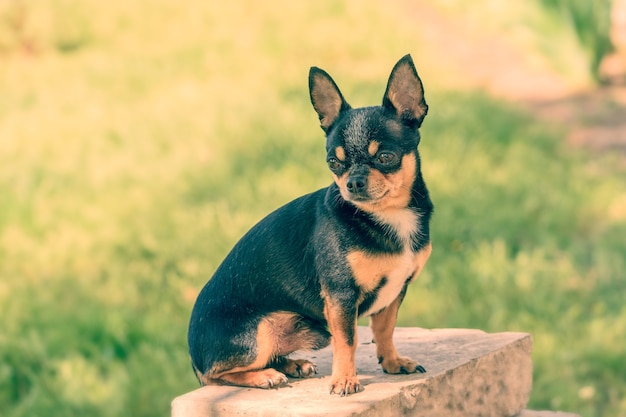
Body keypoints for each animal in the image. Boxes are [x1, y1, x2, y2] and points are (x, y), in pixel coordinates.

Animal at [185, 53, 432, 394]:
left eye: (385, 157)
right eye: (334, 163)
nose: (352, 183)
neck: (387, 216)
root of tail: (193, 356)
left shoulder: (394, 292)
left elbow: (384, 331)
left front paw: (392, 363)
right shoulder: (341, 297)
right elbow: (349, 340)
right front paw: (345, 379)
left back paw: (292, 365)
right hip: (257, 333)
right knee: (217, 373)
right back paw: (264, 376)